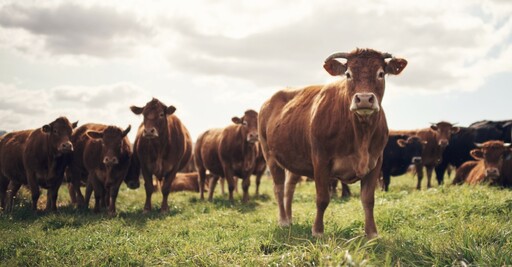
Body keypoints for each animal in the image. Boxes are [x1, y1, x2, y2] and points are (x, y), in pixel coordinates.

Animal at [260, 48, 408, 239]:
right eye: (348, 74)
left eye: (381, 73)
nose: (364, 99)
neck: (360, 134)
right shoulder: (320, 160)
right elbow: (322, 198)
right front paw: (317, 231)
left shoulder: (376, 162)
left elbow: (368, 199)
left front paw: (372, 233)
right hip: (270, 155)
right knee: (278, 188)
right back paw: (284, 220)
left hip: (294, 159)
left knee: (289, 188)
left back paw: (290, 218)